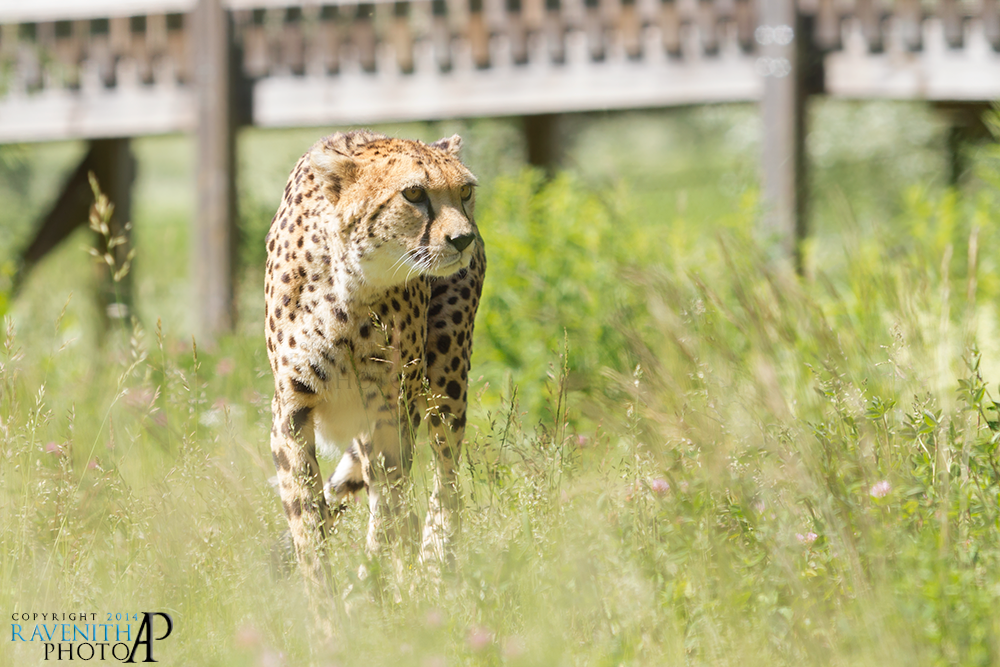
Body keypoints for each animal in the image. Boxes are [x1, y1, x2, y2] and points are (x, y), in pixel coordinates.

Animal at [264, 130, 486, 588]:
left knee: (445, 482)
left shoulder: (389, 408)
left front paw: (388, 587)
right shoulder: (291, 411)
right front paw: (326, 601)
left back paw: (433, 565)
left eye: (465, 191)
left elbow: (389, 511)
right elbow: (307, 521)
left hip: (446, 381)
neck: (349, 287)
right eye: (413, 193)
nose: (463, 240)